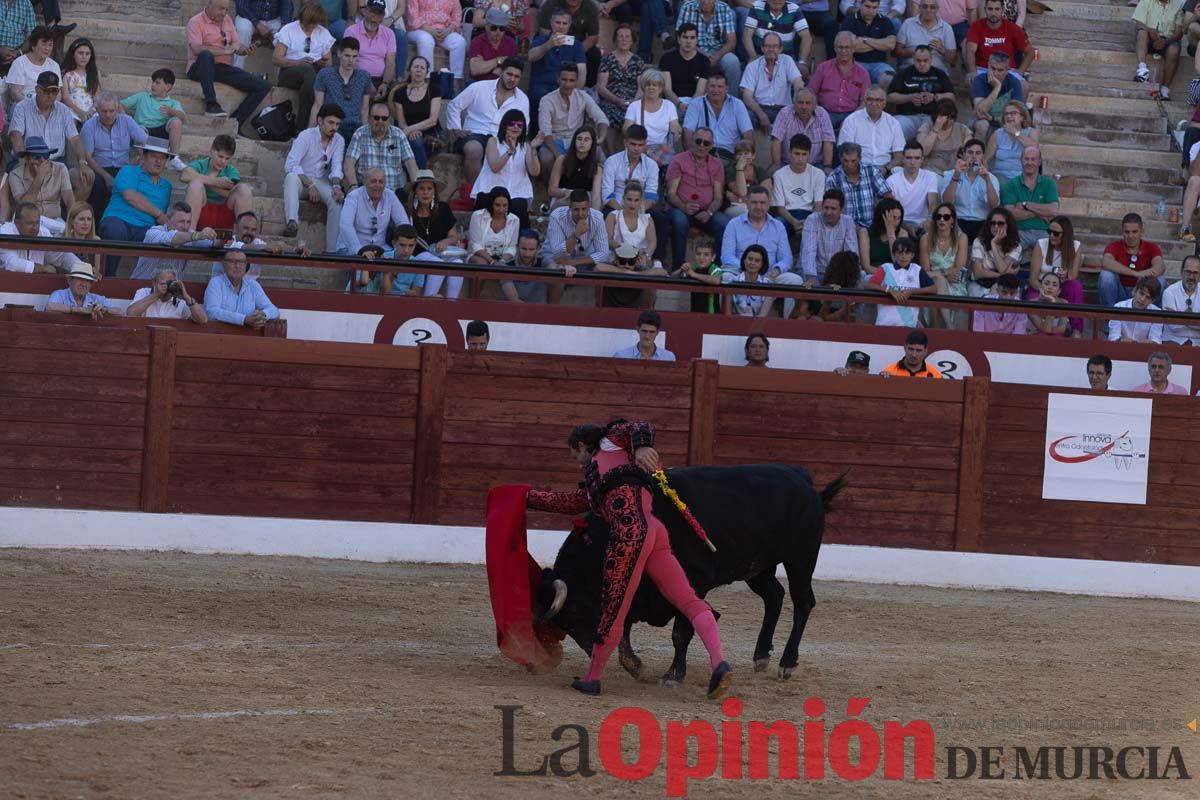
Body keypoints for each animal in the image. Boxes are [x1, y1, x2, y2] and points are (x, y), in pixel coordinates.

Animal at [535, 462, 844, 681]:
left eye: (575, 611)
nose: (593, 650)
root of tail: (803, 479)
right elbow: (624, 629)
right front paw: (636, 667)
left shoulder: (693, 584)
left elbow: (681, 631)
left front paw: (673, 675)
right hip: (757, 568)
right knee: (774, 596)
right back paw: (760, 657)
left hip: (800, 558)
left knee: (802, 602)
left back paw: (786, 664)